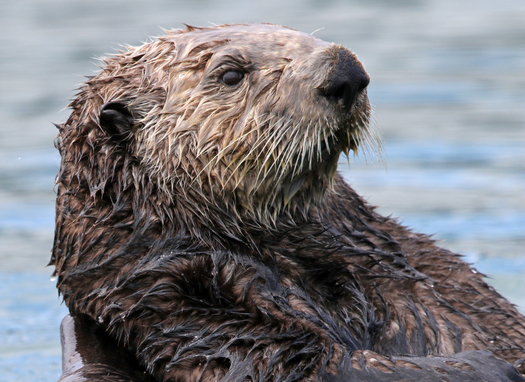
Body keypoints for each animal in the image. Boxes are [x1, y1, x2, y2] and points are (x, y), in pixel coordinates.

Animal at [51, 24, 524, 382]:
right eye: (230, 74)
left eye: (299, 37)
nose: (346, 71)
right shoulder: (178, 301)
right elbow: (327, 366)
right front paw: (485, 365)